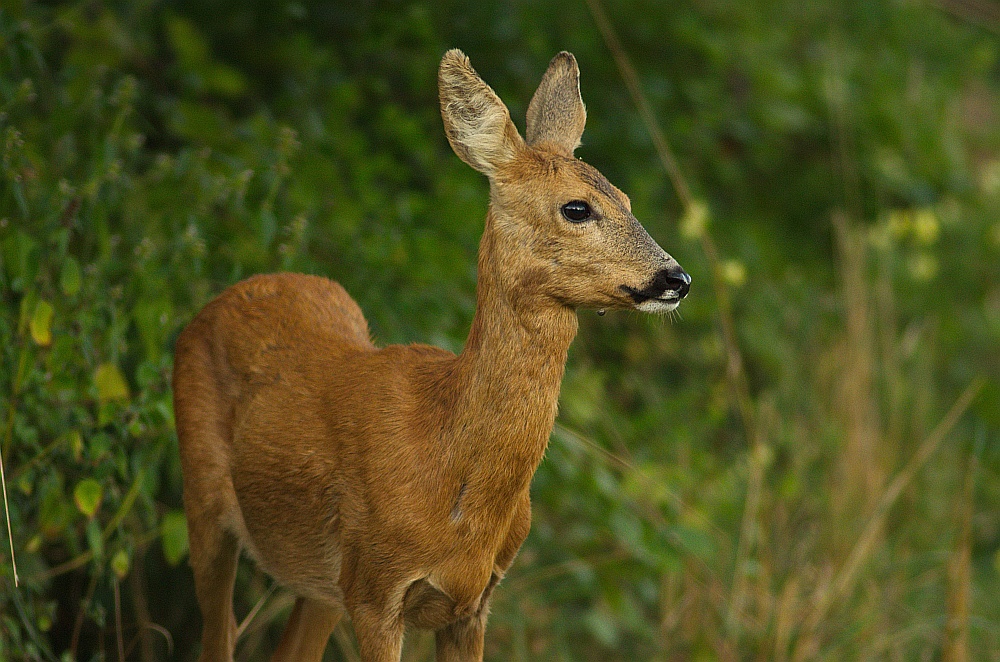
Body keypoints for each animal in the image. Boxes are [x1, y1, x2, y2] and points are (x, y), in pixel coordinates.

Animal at [174, 48, 688, 662]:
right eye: (577, 208)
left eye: (627, 200)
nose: (676, 278)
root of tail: (225, 297)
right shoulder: (375, 592)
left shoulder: (473, 603)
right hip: (205, 502)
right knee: (219, 632)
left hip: (320, 585)